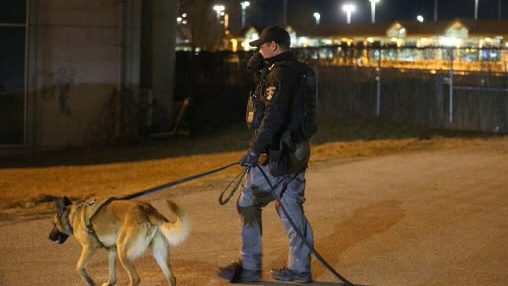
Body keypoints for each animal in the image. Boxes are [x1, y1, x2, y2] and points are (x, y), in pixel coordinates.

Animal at [48, 197, 190, 286]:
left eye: (53, 224)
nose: (49, 237)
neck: (73, 215)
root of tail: (146, 209)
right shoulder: (112, 251)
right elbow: (112, 276)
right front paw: (108, 283)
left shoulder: (89, 247)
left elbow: (79, 267)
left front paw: (89, 281)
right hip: (158, 254)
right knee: (171, 277)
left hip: (123, 252)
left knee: (135, 279)